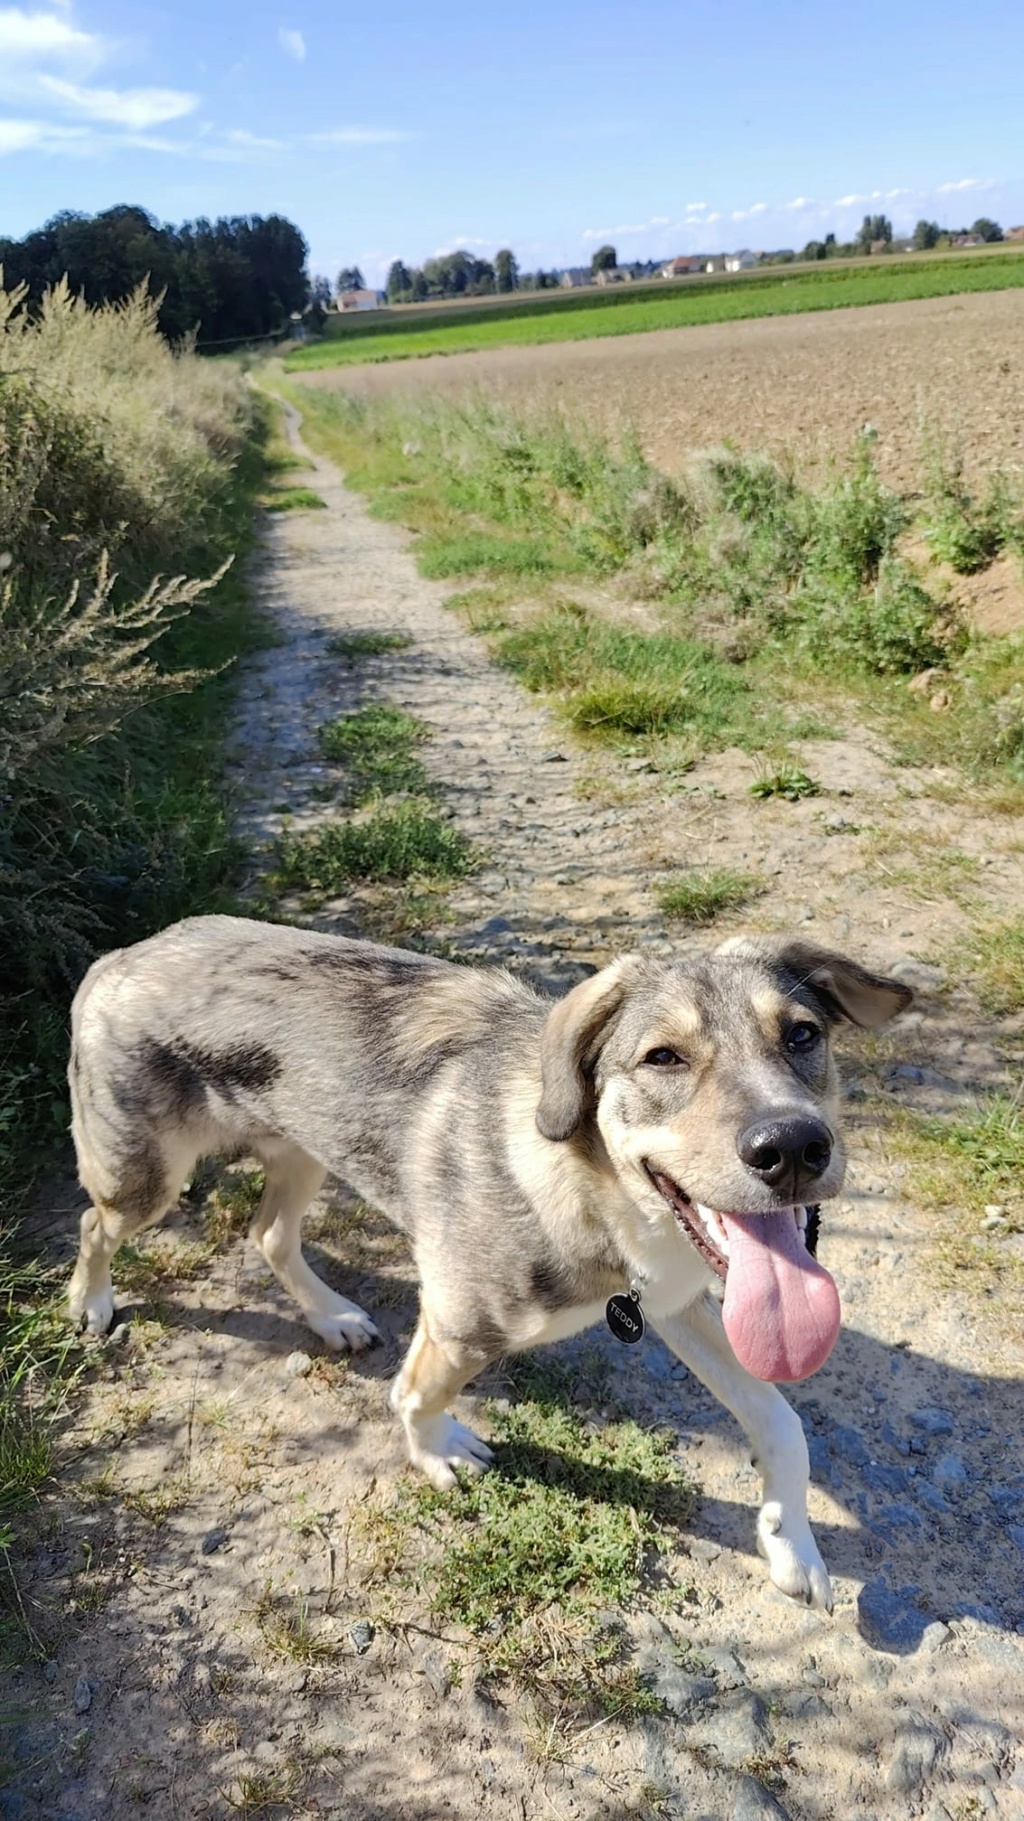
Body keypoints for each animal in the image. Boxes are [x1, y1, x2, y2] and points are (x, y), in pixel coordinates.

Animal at [65, 917, 907, 1617]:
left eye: (801, 1034)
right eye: (662, 1057)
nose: (792, 1146)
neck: (593, 1189)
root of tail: (120, 956)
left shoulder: (673, 1302)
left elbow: (781, 1418)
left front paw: (792, 1542)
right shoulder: (461, 1323)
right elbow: (416, 1395)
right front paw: (438, 1452)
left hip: (302, 1150)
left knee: (269, 1234)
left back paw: (331, 1315)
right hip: (143, 1179)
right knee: (93, 1224)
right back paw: (91, 1302)